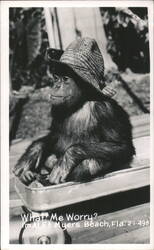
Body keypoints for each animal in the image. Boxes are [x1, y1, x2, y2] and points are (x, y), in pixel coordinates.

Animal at [12, 37, 135, 186]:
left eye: (65, 79)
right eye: (56, 77)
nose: (57, 85)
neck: (80, 102)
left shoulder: (106, 111)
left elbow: (123, 146)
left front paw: (68, 158)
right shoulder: (56, 107)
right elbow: (53, 134)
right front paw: (31, 155)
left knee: (91, 163)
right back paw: (32, 173)